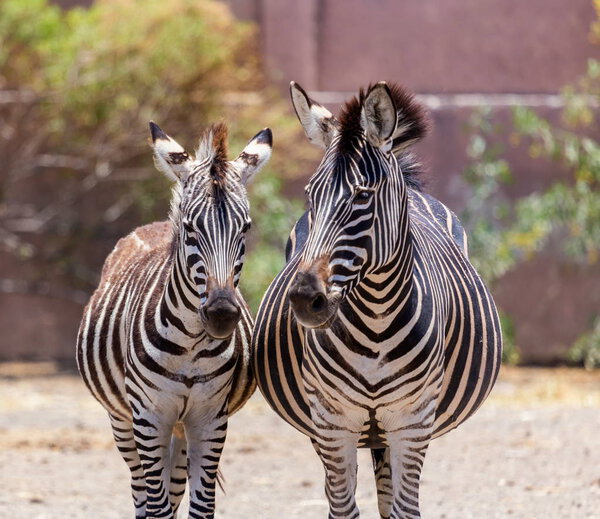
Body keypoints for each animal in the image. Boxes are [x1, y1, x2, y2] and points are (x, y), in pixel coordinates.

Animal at [77, 120, 272, 516]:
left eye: (245, 228)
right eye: (191, 228)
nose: (222, 314)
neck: (191, 346)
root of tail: (153, 224)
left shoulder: (210, 419)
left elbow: (200, 506)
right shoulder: (149, 417)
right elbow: (157, 506)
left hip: (180, 431)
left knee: (175, 488)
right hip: (123, 421)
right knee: (141, 490)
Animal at [252, 82, 502, 519]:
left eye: (362, 195)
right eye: (310, 195)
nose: (304, 299)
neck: (376, 320)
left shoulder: (412, 421)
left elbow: (404, 509)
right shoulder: (332, 421)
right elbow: (342, 507)